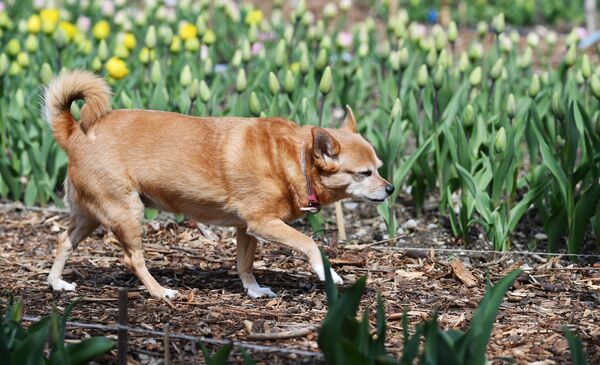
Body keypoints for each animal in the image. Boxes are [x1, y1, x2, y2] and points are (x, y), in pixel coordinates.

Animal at [44, 70, 396, 298]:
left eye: (379, 169)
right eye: (365, 174)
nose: (390, 188)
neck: (295, 159)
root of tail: (75, 130)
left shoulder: (246, 229)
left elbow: (244, 264)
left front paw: (254, 290)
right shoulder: (263, 223)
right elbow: (310, 244)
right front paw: (329, 273)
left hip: (90, 216)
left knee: (63, 241)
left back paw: (57, 283)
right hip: (126, 212)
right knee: (133, 259)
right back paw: (160, 291)